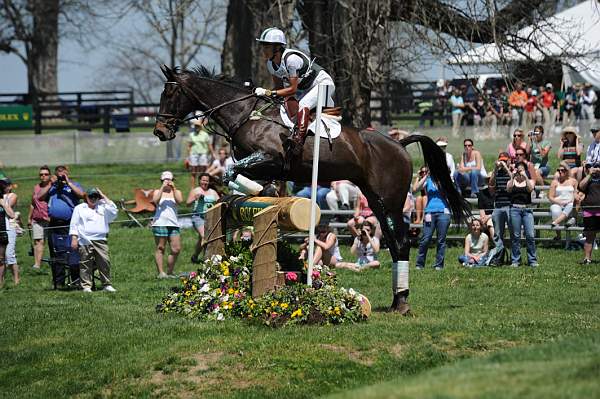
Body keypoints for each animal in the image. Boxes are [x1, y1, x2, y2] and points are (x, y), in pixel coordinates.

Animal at [151, 65, 468, 316]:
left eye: (170, 95)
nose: (159, 132)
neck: (245, 115)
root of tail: (400, 144)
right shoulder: (261, 165)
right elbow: (235, 176)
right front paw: (256, 192)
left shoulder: (269, 158)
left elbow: (232, 172)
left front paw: (256, 189)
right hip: (376, 200)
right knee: (392, 243)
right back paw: (396, 300)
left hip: (390, 200)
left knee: (401, 242)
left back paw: (402, 302)